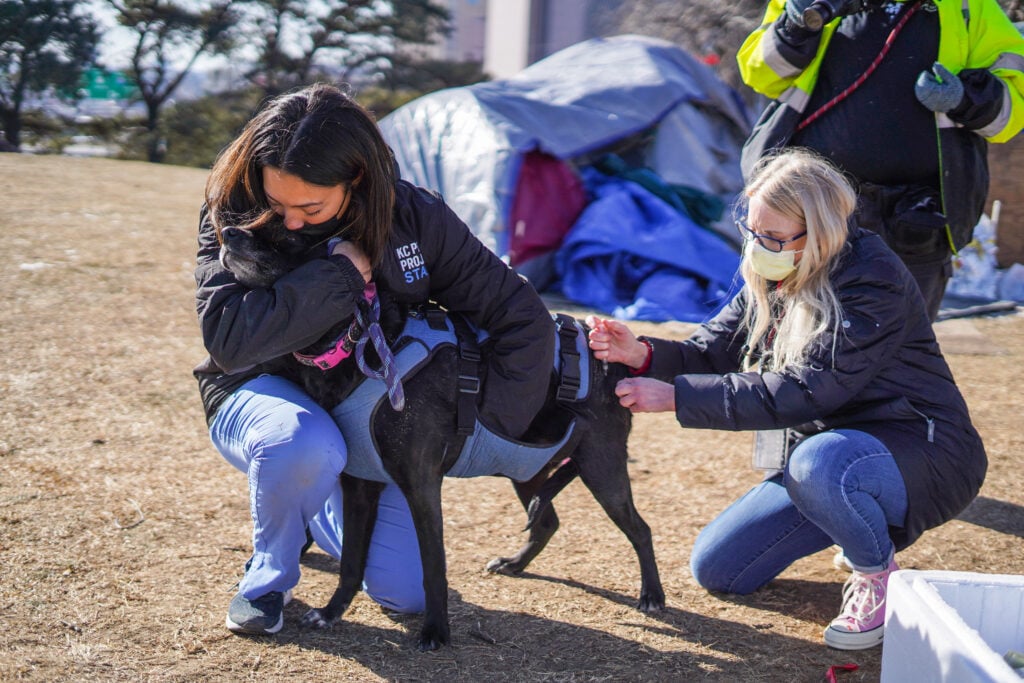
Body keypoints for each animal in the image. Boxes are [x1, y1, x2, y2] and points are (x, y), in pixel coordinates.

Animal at [220, 220, 663, 651]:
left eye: (288, 234)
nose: (226, 231)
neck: (365, 341)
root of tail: (612, 364)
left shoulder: (422, 487)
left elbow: (433, 566)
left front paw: (435, 630)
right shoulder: (360, 486)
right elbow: (350, 563)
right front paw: (331, 613)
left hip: (600, 467)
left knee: (639, 528)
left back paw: (652, 595)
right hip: (525, 466)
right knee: (547, 520)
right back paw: (515, 564)